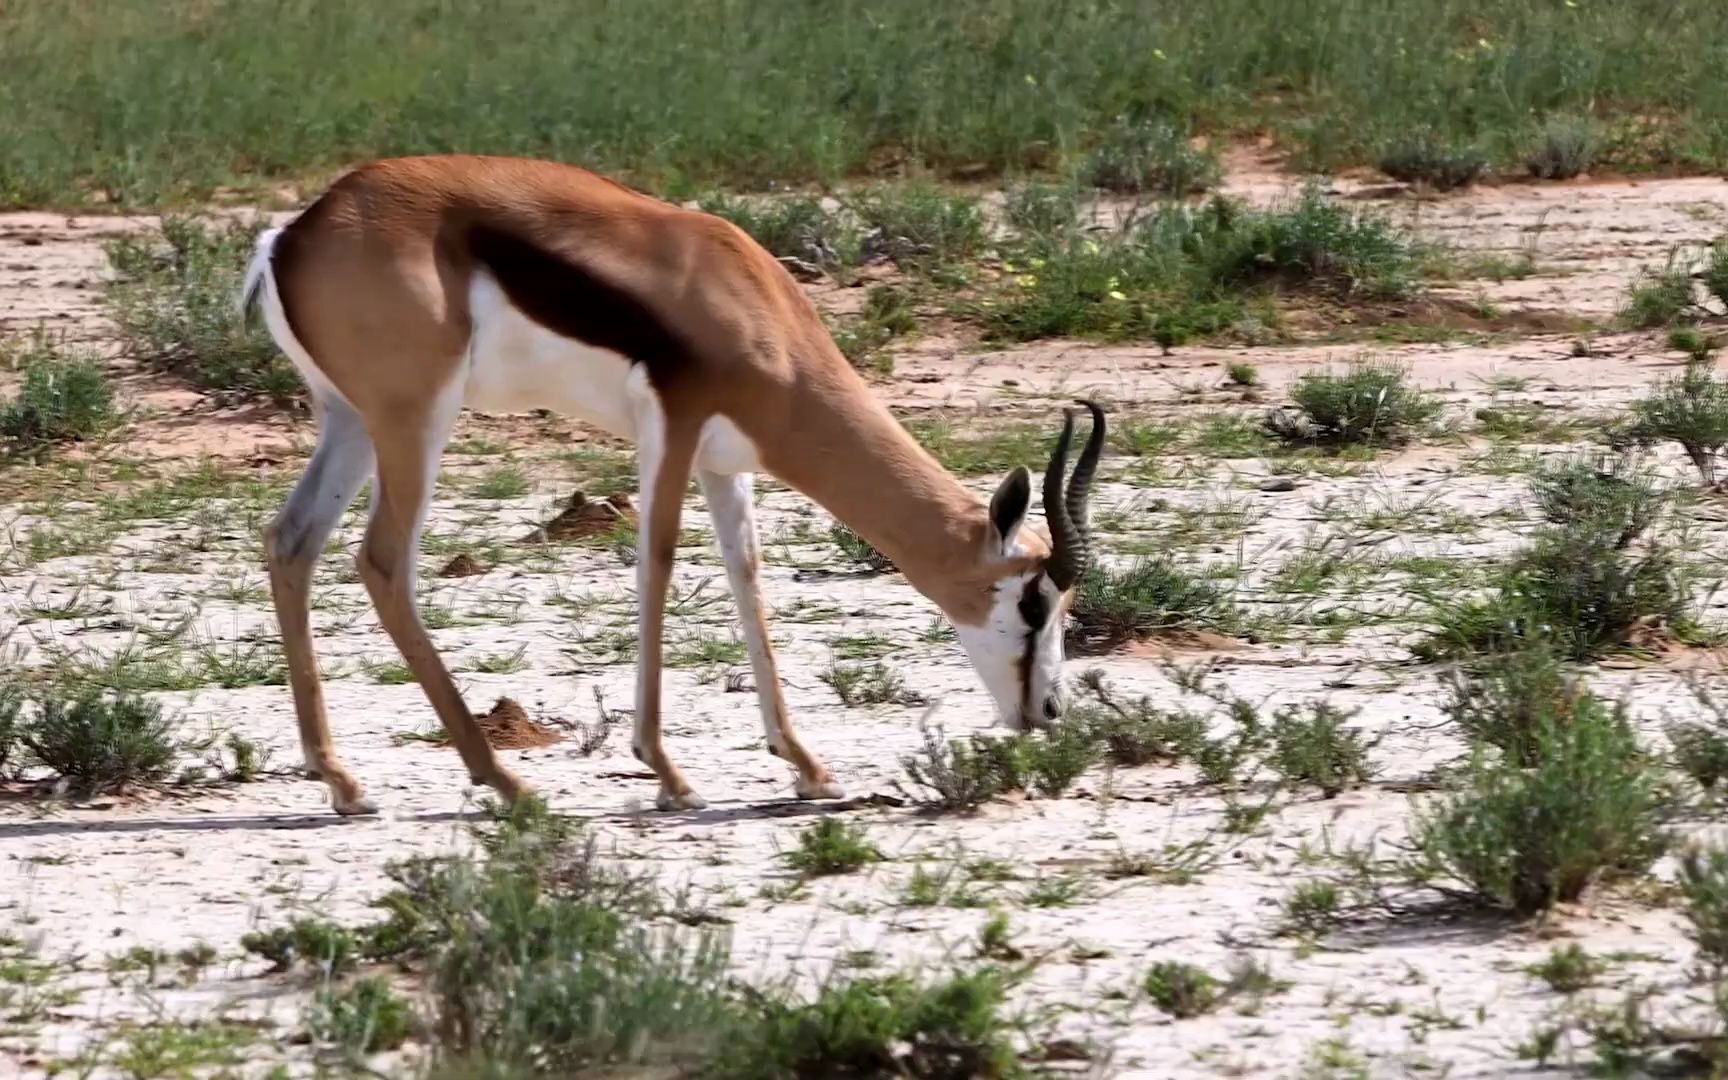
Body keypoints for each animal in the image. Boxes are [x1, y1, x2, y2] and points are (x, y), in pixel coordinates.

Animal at [240, 152, 1105, 812]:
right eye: (1035, 601)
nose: (1048, 709)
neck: (757, 309)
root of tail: (297, 229)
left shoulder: (726, 463)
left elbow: (746, 578)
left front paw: (807, 766)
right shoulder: (674, 428)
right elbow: (655, 566)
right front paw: (668, 772)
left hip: (350, 422)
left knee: (291, 543)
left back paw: (343, 780)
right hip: (417, 421)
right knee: (383, 562)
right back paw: (503, 780)